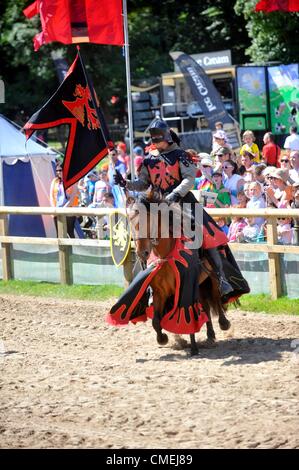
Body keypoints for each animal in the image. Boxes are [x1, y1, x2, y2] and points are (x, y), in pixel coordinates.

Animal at [127, 189, 231, 354]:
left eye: (148, 220)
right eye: (130, 221)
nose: (142, 253)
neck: (166, 254)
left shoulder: (186, 287)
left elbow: (188, 316)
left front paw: (193, 348)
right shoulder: (160, 292)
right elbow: (156, 321)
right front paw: (162, 339)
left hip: (210, 278)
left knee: (215, 296)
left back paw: (223, 323)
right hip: (199, 285)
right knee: (206, 305)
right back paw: (210, 335)